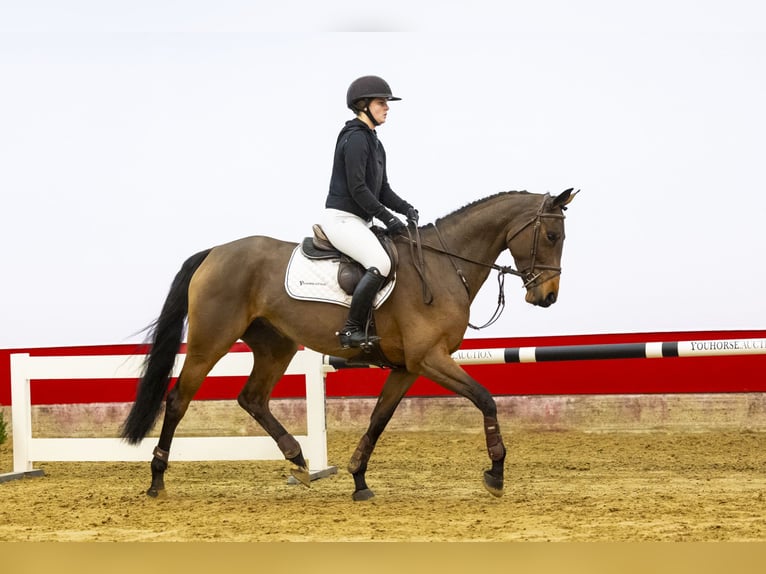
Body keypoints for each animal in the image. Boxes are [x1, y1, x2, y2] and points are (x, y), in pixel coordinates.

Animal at [120, 188, 580, 500]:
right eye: (552, 236)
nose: (547, 296)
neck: (443, 265)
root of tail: (214, 252)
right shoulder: (430, 358)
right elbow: (486, 399)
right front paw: (496, 472)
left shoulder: (407, 367)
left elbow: (378, 419)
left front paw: (359, 478)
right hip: (209, 341)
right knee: (178, 400)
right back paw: (157, 480)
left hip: (275, 346)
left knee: (252, 398)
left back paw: (298, 460)